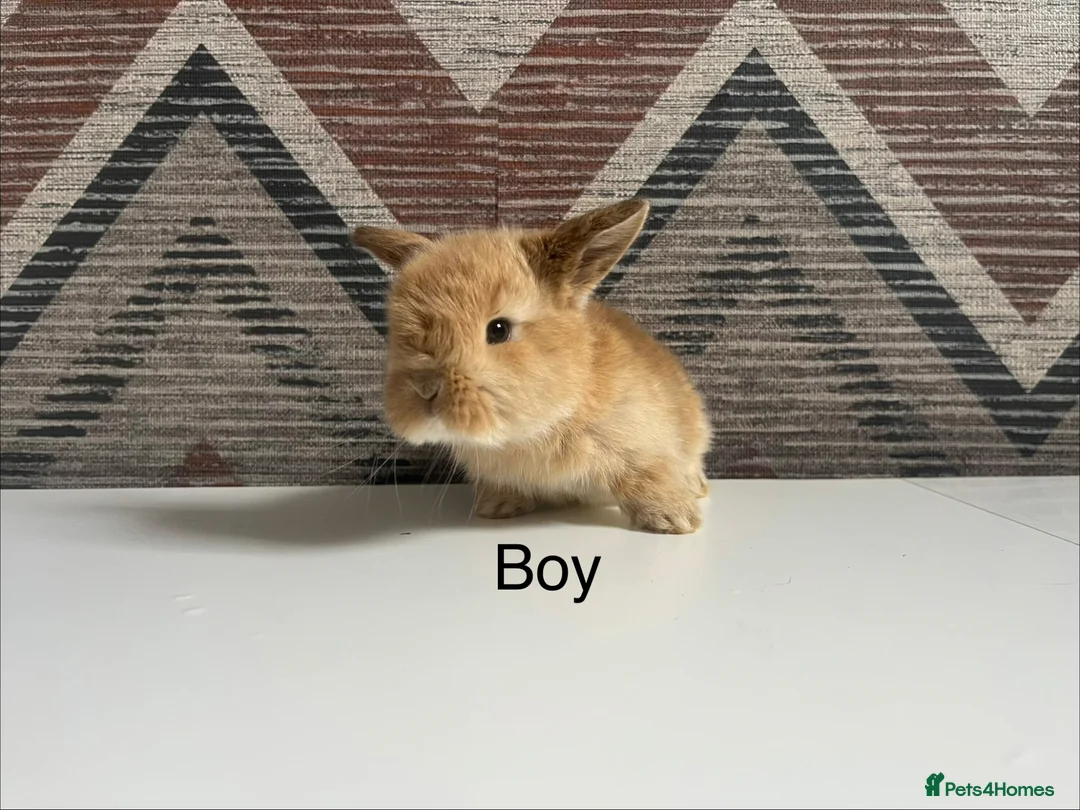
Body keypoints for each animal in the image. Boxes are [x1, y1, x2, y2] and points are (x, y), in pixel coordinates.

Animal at [353, 198, 711, 534]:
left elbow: (645, 478)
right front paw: (496, 507)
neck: (529, 431)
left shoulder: (641, 449)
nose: (426, 388)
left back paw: (696, 488)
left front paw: (676, 520)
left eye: (498, 330)